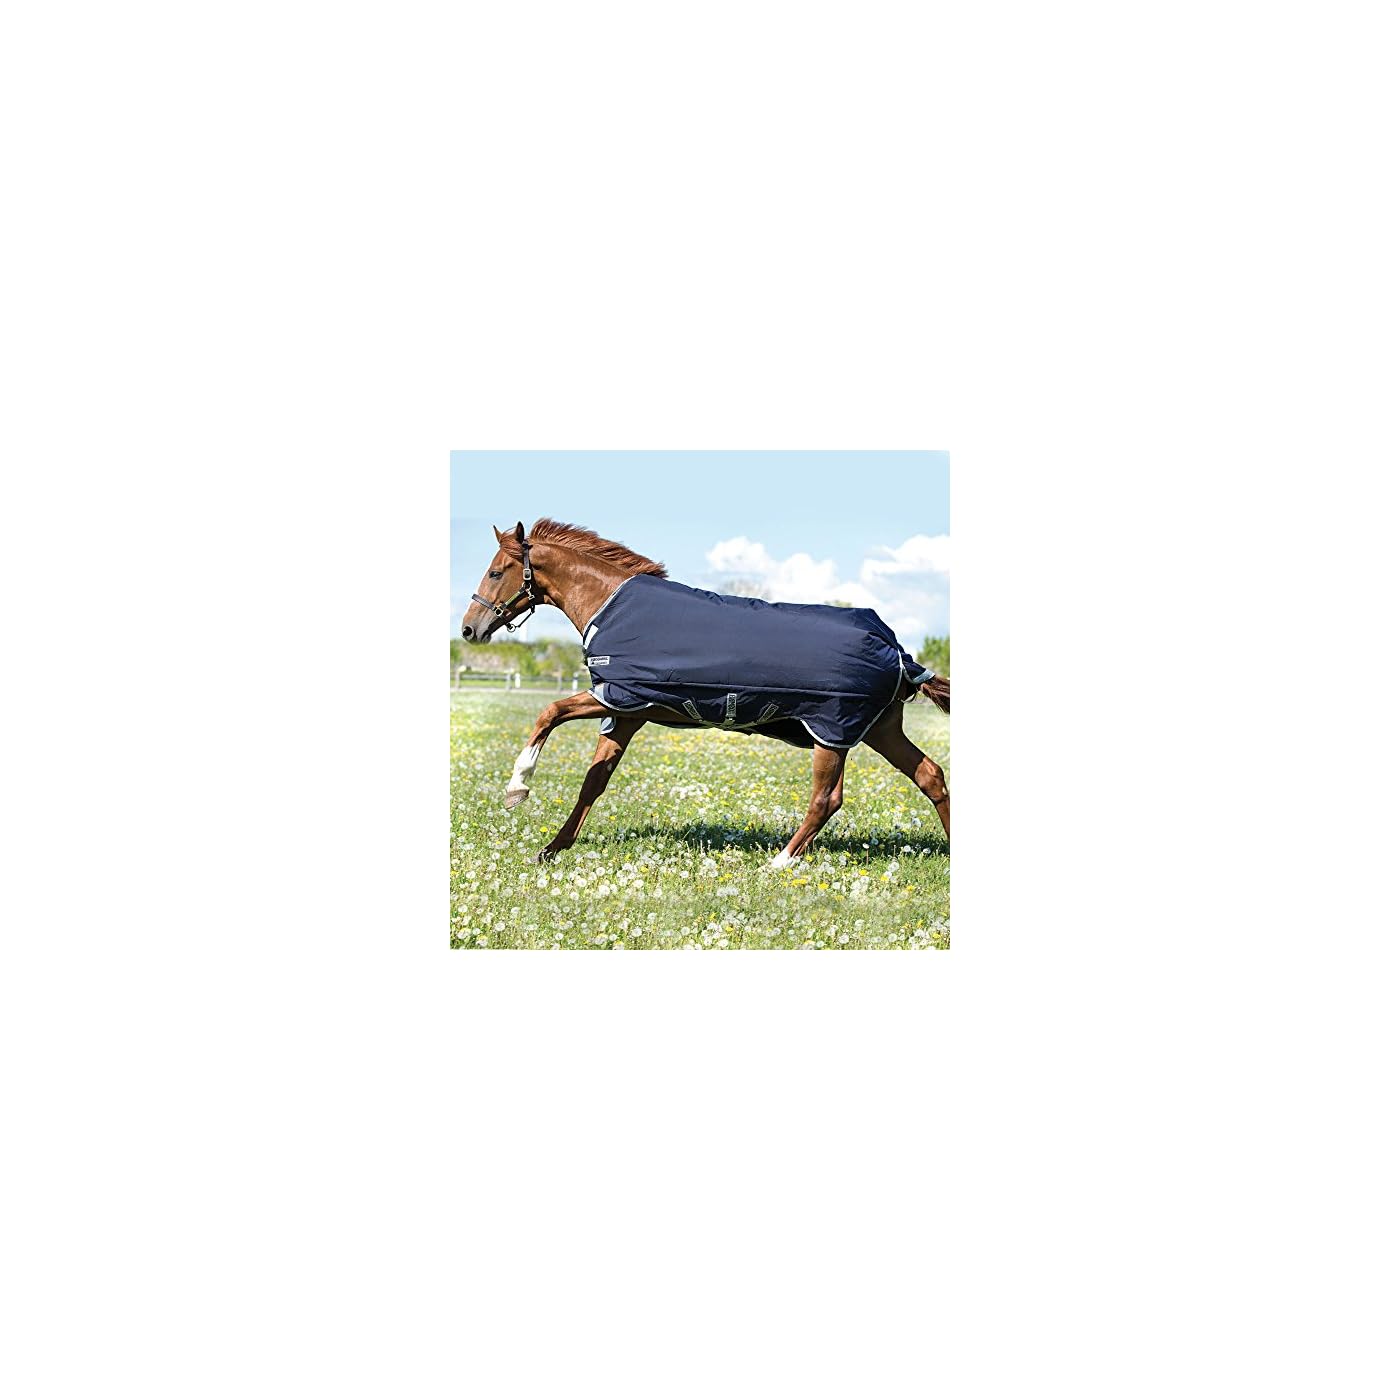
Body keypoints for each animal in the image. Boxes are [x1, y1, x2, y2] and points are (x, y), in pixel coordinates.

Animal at [460, 519, 950, 866]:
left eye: (496, 571)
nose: (469, 629)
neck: (611, 607)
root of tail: (898, 653)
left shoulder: (617, 694)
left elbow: (549, 712)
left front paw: (517, 787)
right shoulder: (626, 714)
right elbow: (593, 781)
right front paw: (552, 849)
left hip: (832, 733)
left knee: (826, 799)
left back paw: (780, 862)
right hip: (874, 731)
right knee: (931, 776)